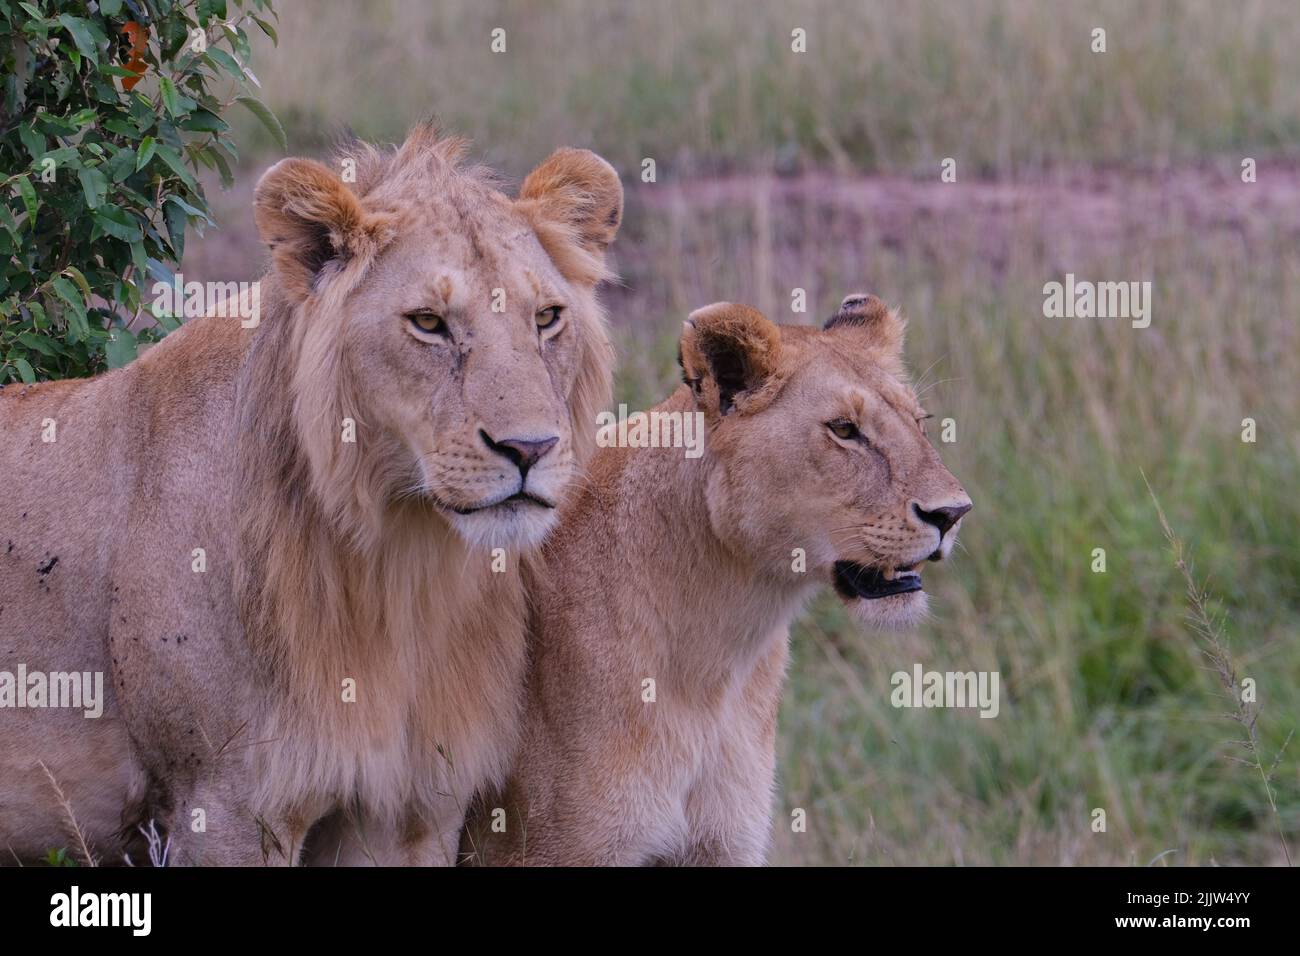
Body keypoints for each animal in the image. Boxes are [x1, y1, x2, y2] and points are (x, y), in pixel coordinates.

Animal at [0, 125, 623, 865]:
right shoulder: (224, 804)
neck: (400, 566)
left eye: (548, 318)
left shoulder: (409, 802)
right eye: (429, 323)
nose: (529, 449)